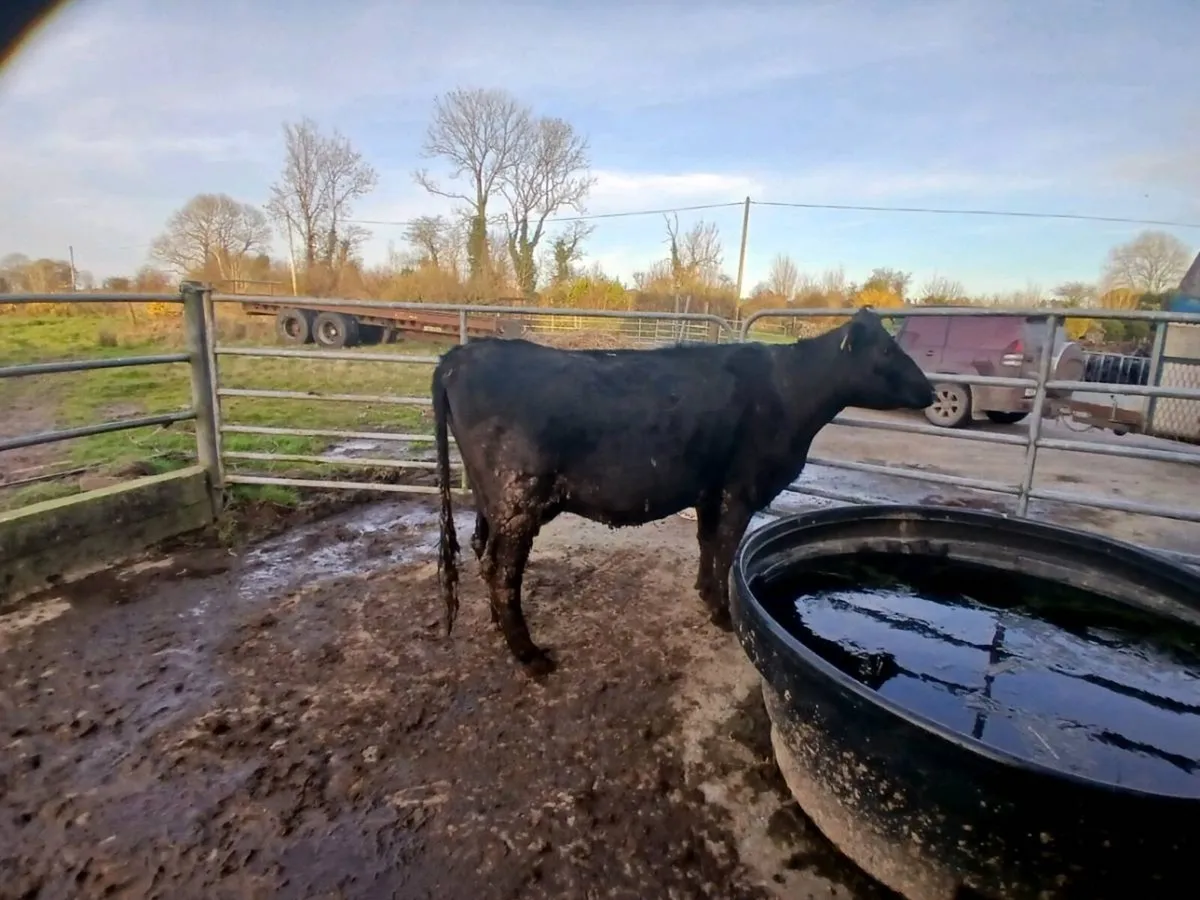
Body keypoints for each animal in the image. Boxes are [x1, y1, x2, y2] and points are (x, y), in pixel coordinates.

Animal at [431, 306, 934, 676]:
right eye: (887, 350)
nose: (931, 390)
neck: (791, 391)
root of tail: (461, 355)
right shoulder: (740, 489)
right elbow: (727, 548)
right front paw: (725, 615)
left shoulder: (710, 489)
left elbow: (707, 543)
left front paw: (705, 595)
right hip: (519, 499)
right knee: (503, 572)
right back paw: (529, 655)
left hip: (491, 501)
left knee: (482, 552)